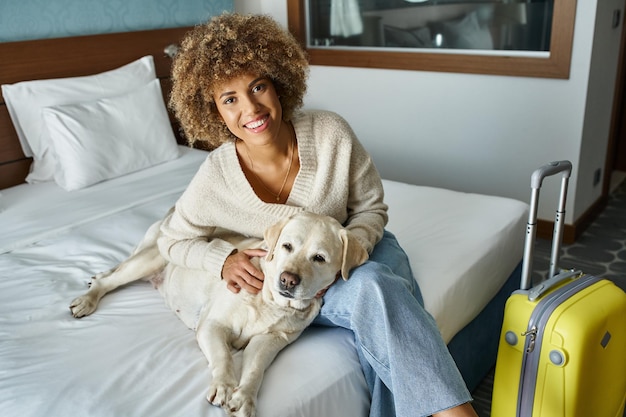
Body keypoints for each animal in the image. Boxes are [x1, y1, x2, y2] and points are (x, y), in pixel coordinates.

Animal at [68, 211, 366, 416]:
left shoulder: (269, 341)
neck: (269, 302)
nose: (288, 280)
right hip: (149, 260)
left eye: (319, 258)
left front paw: (244, 398)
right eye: (287, 246)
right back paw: (87, 300)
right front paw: (223, 386)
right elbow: (223, 356)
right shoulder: (213, 325)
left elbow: (255, 369)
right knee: (111, 280)